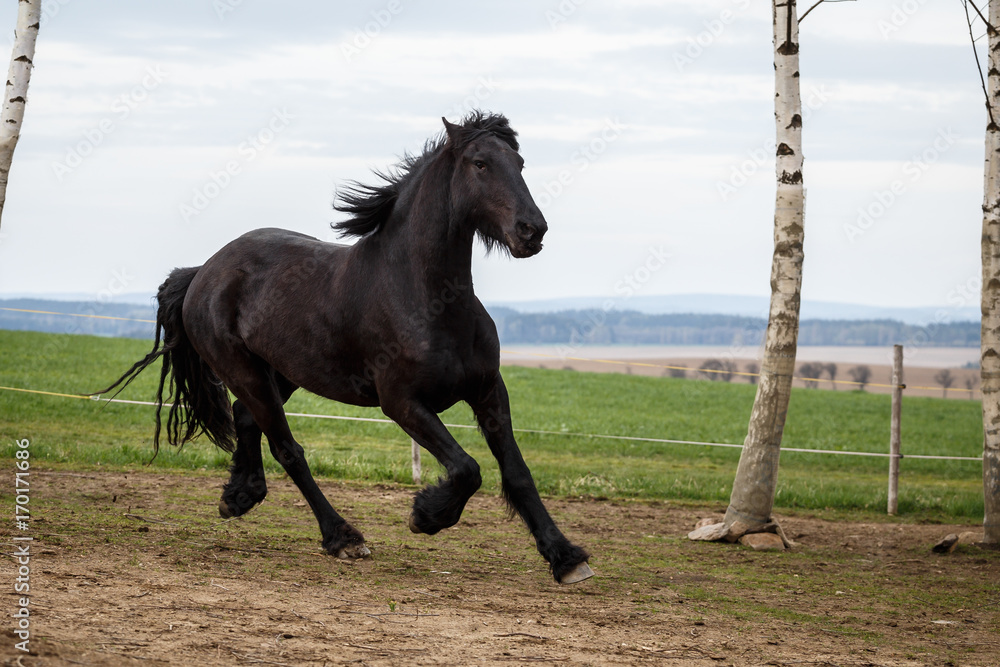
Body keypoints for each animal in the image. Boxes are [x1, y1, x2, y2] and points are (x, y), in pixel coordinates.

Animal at [98, 111, 593, 584]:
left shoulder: (489, 391)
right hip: (243, 371)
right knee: (288, 450)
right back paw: (342, 537)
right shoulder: (402, 402)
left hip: (281, 373)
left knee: (247, 419)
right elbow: (467, 468)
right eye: (480, 163)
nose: (532, 230)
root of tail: (204, 270)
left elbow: (518, 473)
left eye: (520, 163)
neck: (430, 300)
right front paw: (426, 515)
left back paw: (239, 496)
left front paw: (566, 558)